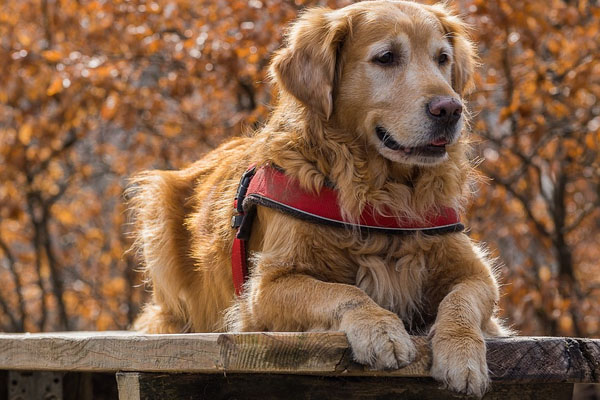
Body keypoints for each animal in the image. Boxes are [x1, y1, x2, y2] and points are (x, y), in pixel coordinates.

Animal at [129, 1, 508, 396]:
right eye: (386, 57)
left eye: (442, 58)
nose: (450, 109)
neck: (381, 193)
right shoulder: (265, 288)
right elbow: (343, 292)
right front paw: (381, 329)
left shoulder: (476, 272)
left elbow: (461, 301)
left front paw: (462, 354)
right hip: (157, 203)